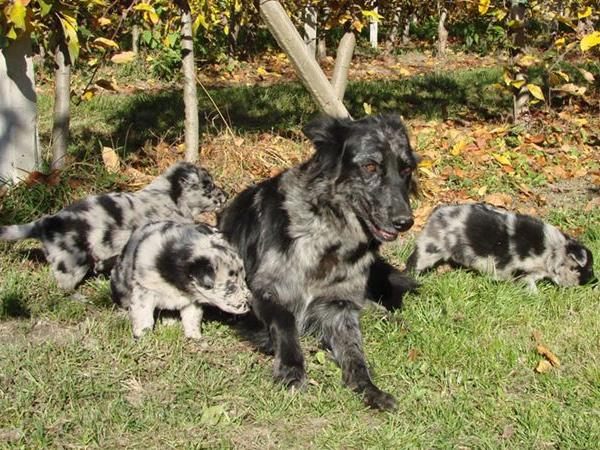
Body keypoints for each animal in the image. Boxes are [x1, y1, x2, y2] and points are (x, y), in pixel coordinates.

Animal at [0, 163, 225, 290]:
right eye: (208, 186)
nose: (226, 194)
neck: (169, 195)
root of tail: (46, 222)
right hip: (71, 262)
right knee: (63, 285)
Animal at [112, 220, 251, 340]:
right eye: (231, 287)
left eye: (243, 280)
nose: (250, 303)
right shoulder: (144, 291)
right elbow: (143, 315)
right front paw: (143, 336)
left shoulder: (193, 299)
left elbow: (192, 318)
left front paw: (194, 337)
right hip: (120, 283)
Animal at [218, 114, 420, 410]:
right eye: (370, 166)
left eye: (406, 170)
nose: (405, 222)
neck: (328, 238)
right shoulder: (260, 290)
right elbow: (285, 322)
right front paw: (291, 369)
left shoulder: (338, 307)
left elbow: (355, 353)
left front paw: (368, 387)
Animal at [408, 203, 596, 292]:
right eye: (587, 269)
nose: (595, 282)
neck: (552, 251)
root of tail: (436, 213)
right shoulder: (523, 271)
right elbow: (530, 286)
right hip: (430, 249)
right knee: (414, 262)